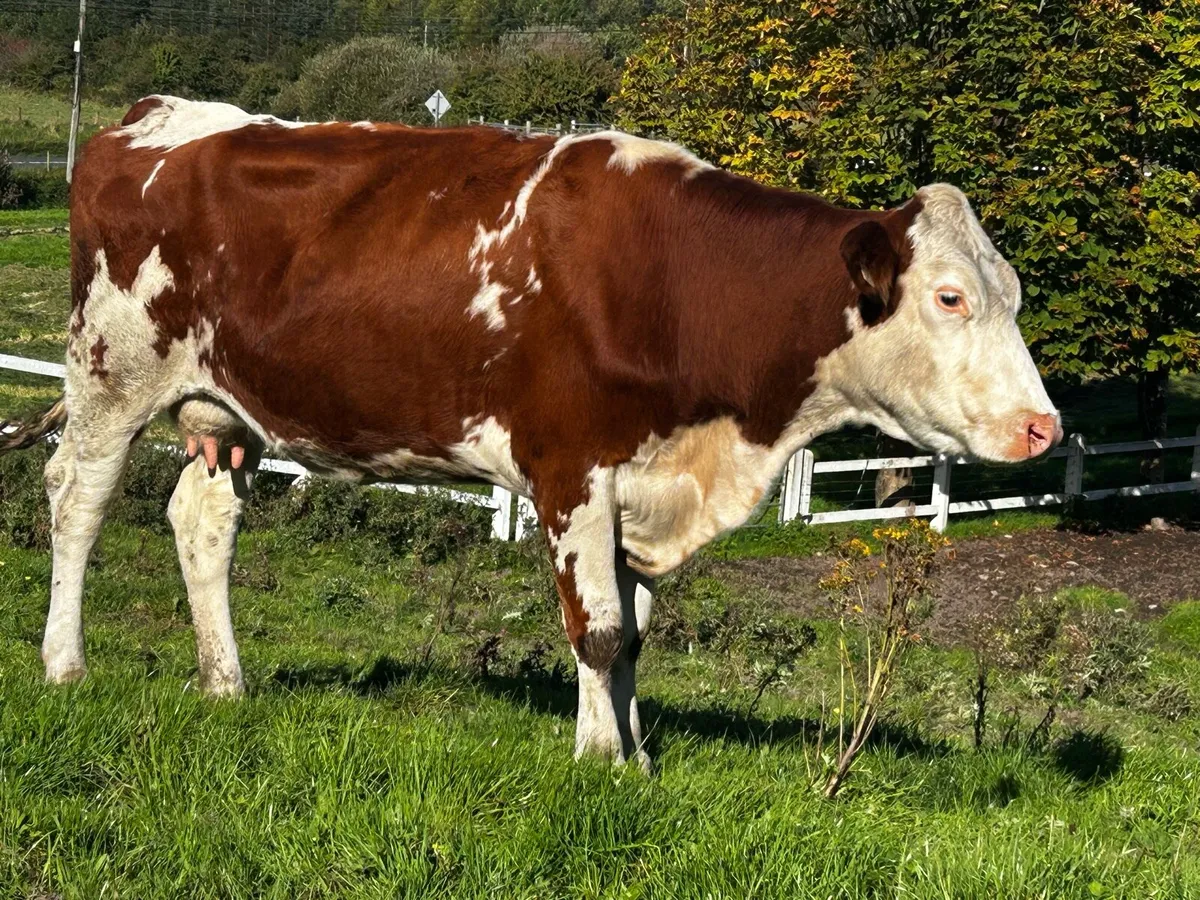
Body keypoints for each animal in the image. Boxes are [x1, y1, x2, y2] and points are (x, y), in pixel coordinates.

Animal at [0, 96, 1061, 770]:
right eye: (950, 296)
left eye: (1011, 293)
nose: (1042, 427)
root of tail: (155, 117)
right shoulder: (571, 467)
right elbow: (597, 630)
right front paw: (598, 760)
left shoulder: (640, 483)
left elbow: (634, 635)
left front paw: (635, 756)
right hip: (111, 370)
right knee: (77, 501)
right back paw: (64, 665)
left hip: (227, 407)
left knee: (201, 521)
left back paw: (225, 684)